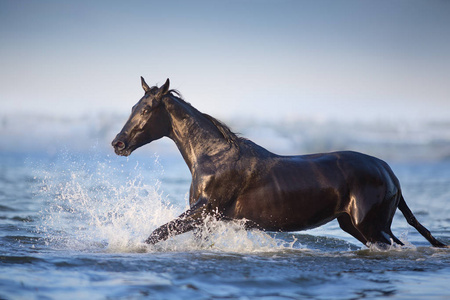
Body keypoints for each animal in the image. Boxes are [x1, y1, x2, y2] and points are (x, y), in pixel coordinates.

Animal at [111, 77, 446, 248]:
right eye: (133, 107)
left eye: (147, 110)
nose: (118, 144)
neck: (213, 157)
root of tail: (389, 172)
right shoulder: (205, 220)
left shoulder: (203, 211)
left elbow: (157, 233)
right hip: (356, 226)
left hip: (372, 227)